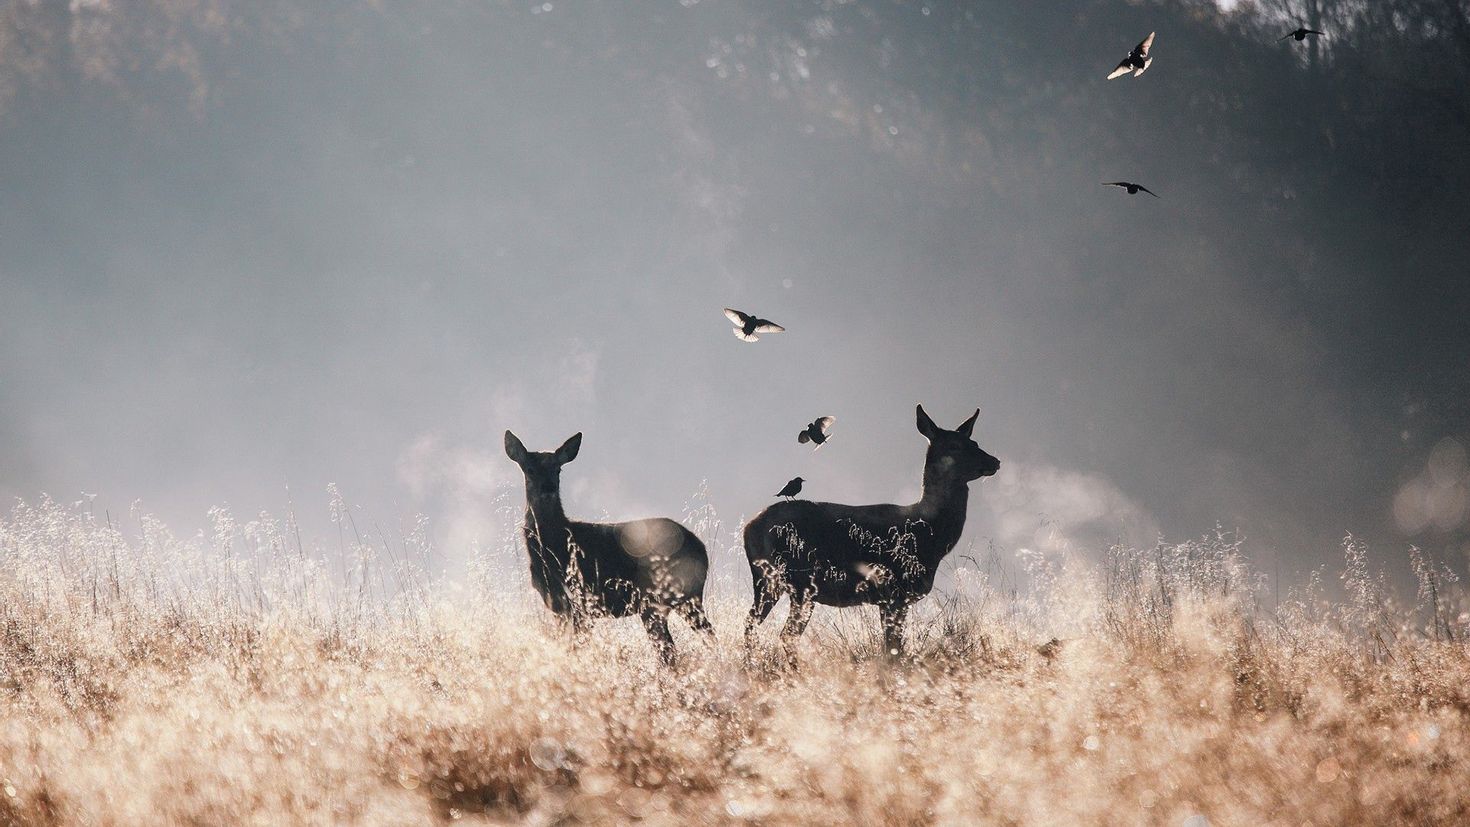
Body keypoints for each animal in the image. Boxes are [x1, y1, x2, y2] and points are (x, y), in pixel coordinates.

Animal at [502, 431, 714, 663]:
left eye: (558, 469)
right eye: (529, 469)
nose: (548, 488)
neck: (554, 545)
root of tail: (701, 549)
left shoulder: (581, 600)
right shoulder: (558, 605)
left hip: (664, 597)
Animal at [746, 408, 999, 666]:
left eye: (975, 442)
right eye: (954, 446)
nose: (994, 461)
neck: (930, 535)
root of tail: (750, 527)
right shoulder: (894, 590)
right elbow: (893, 648)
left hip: (770, 581)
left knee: (754, 622)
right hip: (797, 581)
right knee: (784, 633)